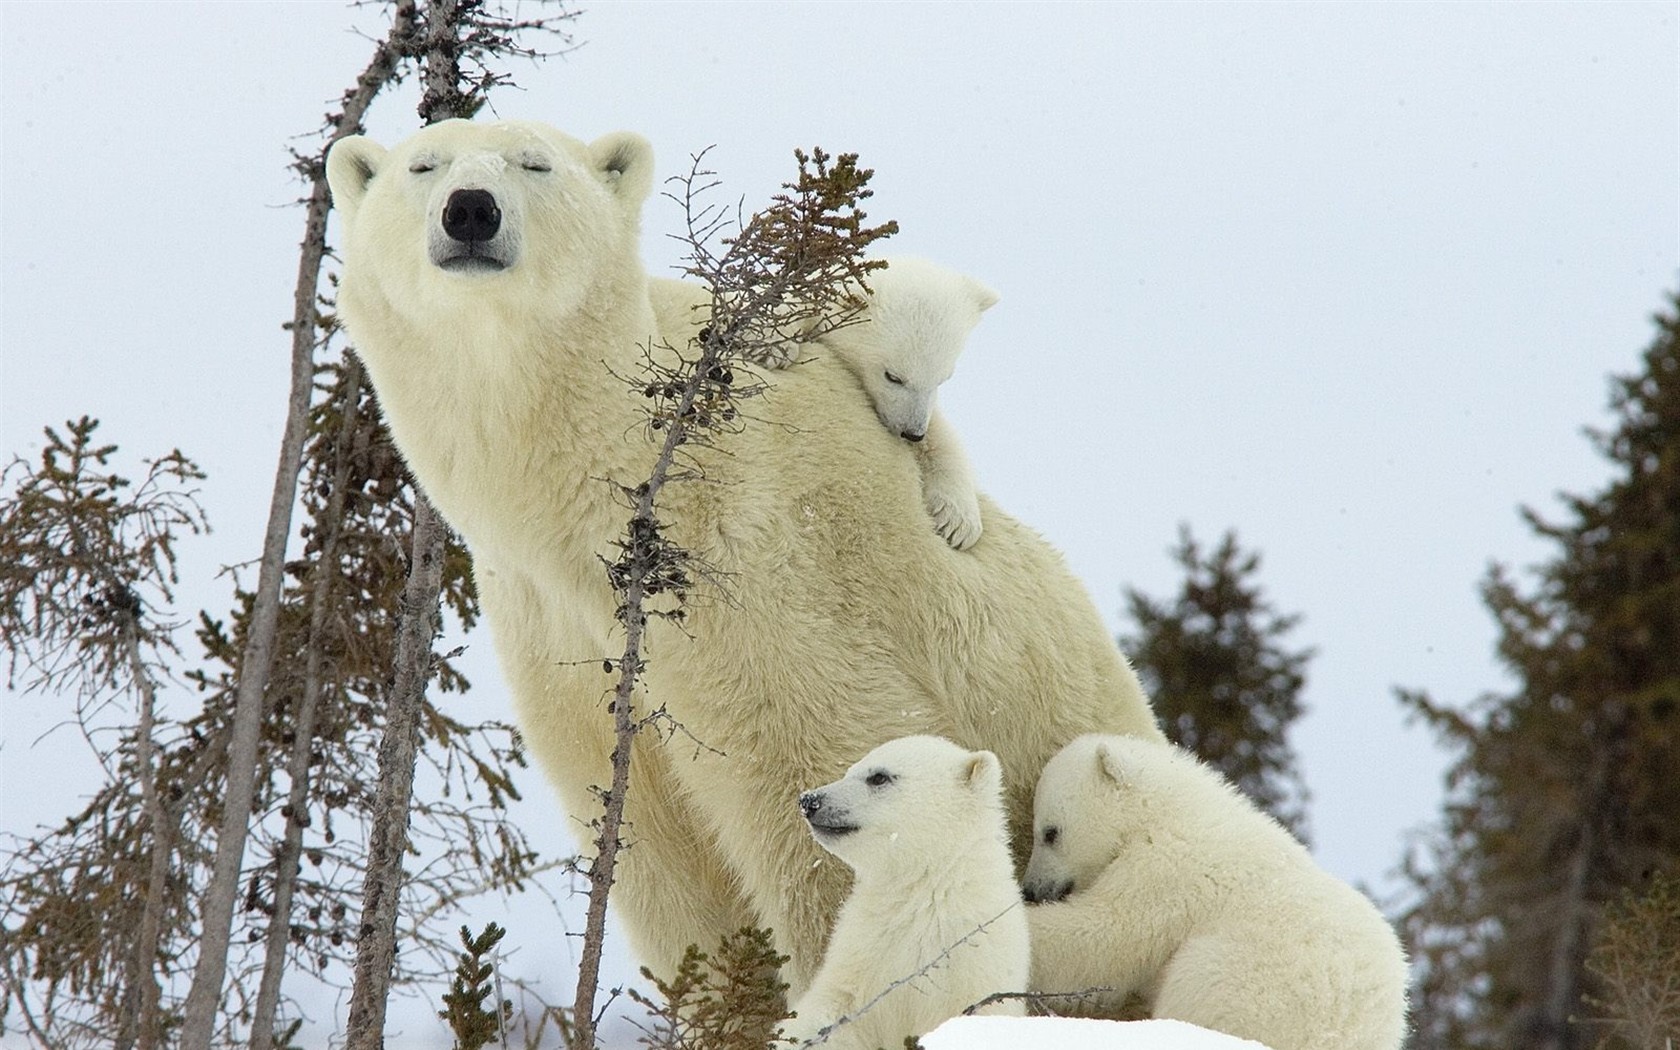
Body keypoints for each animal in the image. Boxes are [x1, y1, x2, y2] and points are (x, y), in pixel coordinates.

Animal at [329, 120, 1169, 987]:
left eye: (535, 163)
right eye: (422, 165)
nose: (470, 210)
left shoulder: (761, 573)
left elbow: (822, 790)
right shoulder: (556, 632)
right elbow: (658, 857)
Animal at [782, 735, 1028, 1048]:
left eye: (878, 777)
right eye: (850, 770)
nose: (809, 800)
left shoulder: (974, 969)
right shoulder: (863, 956)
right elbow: (831, 1013)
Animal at [1021, 735, 1404, 1048]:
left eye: (1050, 832)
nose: (1031, 889)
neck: (1164, 810)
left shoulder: (1166, 870)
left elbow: (1104, 938)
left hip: (1249, 982)